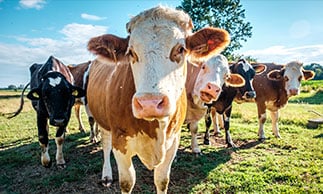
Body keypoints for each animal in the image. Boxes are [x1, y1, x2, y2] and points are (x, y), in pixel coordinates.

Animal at [83, 5, 230, 193]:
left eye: (180, 49)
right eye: (130, 52)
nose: (150, 104)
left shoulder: (172, 142)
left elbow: (162, 180)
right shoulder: (120, 143)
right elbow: (127, 181)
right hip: (103, 122)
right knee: (106, 144)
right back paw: (107, 174)